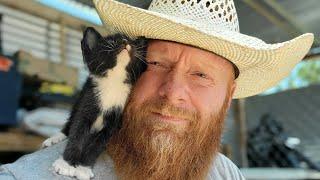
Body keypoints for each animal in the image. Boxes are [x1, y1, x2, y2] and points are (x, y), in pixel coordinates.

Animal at [42, 27, 148, 180]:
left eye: (131, 42)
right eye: (111, 40)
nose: (125, 41)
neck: (113, 83)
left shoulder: (113, 124)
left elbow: (97, 145)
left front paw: (83, 169)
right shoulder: (87, 103)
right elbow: (76, 135)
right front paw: (66, 164)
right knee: (70, 121)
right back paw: (55, 137)